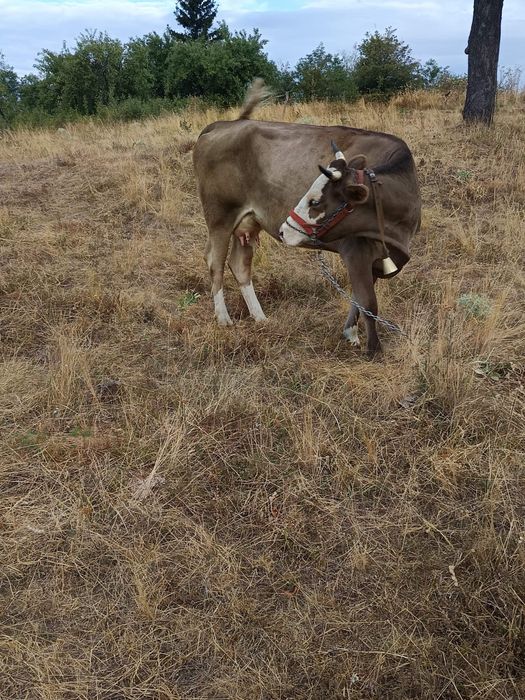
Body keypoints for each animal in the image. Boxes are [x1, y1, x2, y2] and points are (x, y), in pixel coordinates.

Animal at [193, 80, 421, 356]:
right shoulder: (356, 249)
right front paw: (373, 350)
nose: (284, 229)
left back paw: (260, 317)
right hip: (220, 216)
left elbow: (358, 297)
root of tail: (227, 124)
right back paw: (223, 318)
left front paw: (350, 333)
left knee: (239, 263)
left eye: (315, 202)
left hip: (248, 221)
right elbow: (368, 302)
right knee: (215, 262)